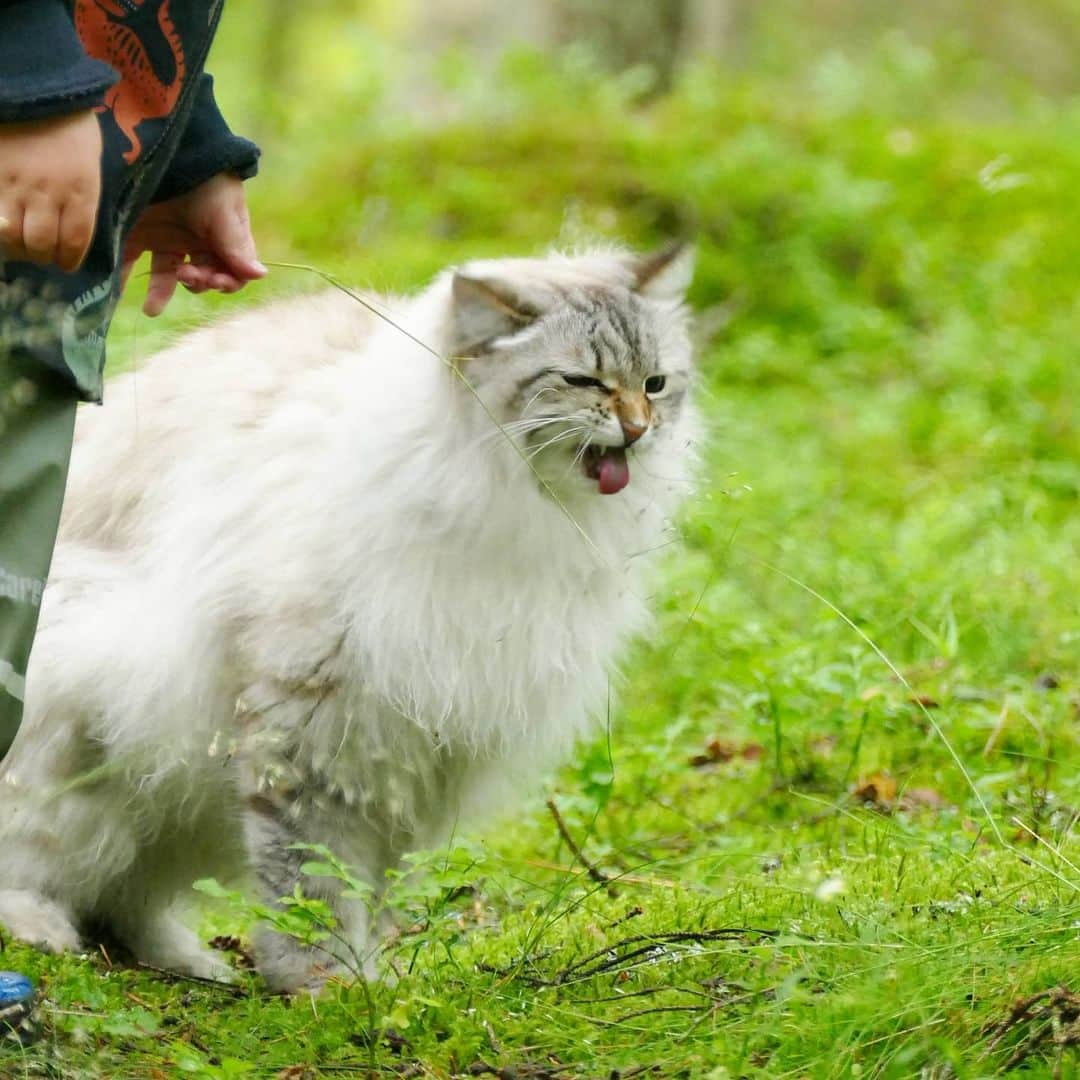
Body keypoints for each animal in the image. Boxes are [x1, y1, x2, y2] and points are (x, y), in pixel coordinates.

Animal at [0, 243, 695, 989]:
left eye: (655, 384)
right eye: (581, 381)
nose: (638, 430)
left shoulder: (407, 754)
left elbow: (369, 884)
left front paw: (365, 979)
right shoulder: (306, 722)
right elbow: (310, 876)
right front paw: (317, 981)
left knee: (124, 896)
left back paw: (185, 961)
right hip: (71, 721)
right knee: (37, 855)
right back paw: (40, 929)